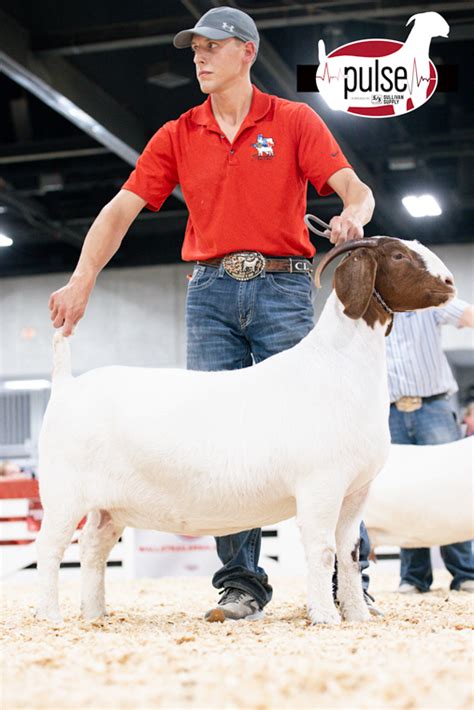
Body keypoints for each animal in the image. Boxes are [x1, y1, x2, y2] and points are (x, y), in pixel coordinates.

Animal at [36, 236, 456, 624]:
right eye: (398, 256)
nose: (451, 283)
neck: (338, 365)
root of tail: (66, 384)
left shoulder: (356, 491)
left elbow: (350, 554)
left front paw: (357, 616)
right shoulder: (320, 485)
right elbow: (322, 551)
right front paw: (325, 616)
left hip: (109, 507)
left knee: (93, 548)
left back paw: (95, 614)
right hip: (62, 493)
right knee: (49, 548)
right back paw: (51, 616)